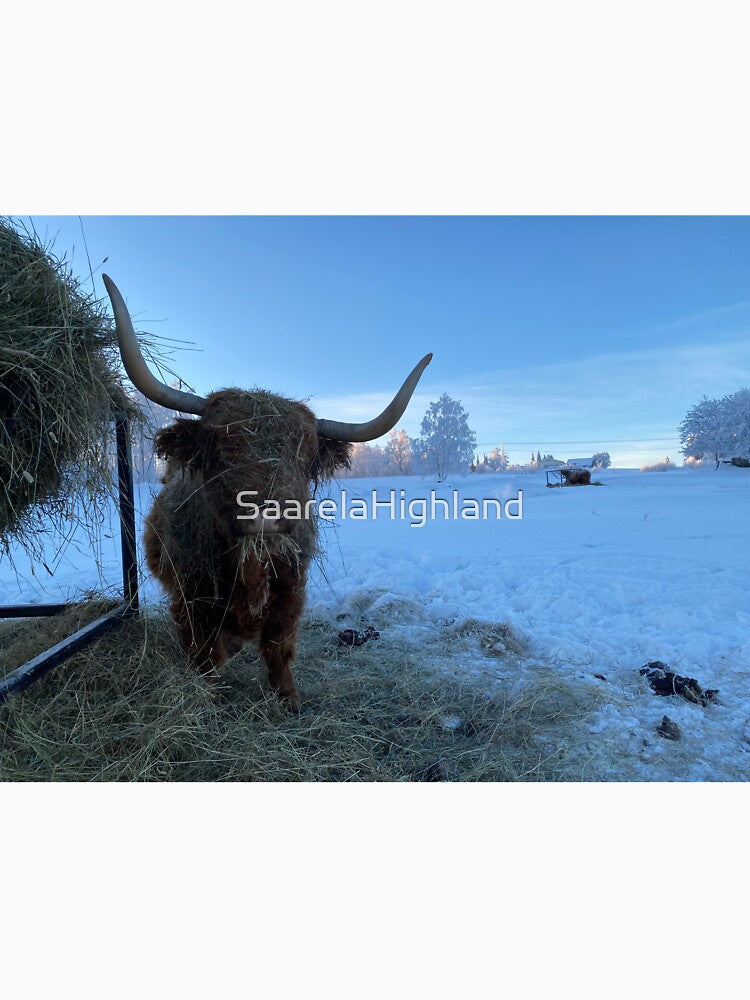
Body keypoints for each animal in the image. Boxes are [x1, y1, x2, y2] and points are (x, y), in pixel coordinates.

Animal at [103, 276, 431, 708]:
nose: (267, 514)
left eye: (305, 455)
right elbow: (204, 650)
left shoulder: (292, 590)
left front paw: (289, 698)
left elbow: (278, 646)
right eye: (220, 447)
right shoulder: (192, 595)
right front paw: (208, 691)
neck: (250, 564)